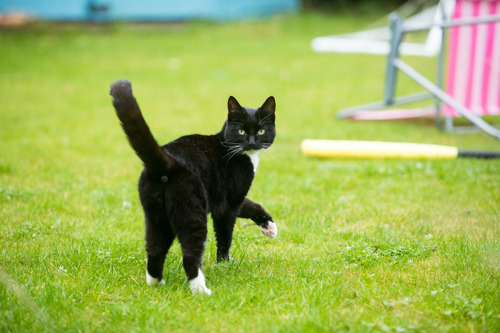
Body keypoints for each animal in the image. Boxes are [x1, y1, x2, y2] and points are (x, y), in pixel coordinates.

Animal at [110, 80, 280, 294]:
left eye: (261, 131)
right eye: (241, 131)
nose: (251, 142)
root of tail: (167, 164)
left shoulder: (225, 198)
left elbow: (250, 205)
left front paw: (269, 226)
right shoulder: (228, 204)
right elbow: (225, 235)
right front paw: (224, 264)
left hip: (156, 215)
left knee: (154, 249)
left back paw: (157, 284)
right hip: (191, 212)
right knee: (190, 254)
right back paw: (201, 290)